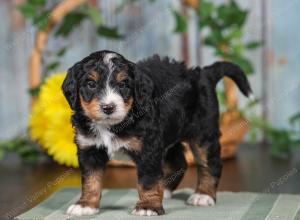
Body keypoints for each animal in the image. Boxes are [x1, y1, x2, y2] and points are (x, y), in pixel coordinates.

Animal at [62, 50, 252, 217]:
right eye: (91, 84)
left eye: (123, 85)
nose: (108, 107)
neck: (112, 125)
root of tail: (203, 73)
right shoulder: (89, 148)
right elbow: (91, 180)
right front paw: (86, 205)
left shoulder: (148, 149)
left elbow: (148, 180)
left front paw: (148, 207)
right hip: (171, 135)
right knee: (178, 163)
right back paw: (166, 191)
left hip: (202, 132)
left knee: (210, 163)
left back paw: (203, 195)